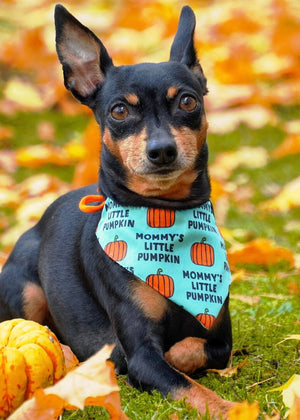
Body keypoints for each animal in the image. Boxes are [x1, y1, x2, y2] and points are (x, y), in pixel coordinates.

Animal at [0, 4, 234, 416]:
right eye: (120, 111)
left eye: (188, 102)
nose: (161, 150)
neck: (163, 215)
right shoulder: (140, 352)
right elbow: (190, 387)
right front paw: (230, 408)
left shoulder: (220, 334)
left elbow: (198, 350)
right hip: (25, 288)